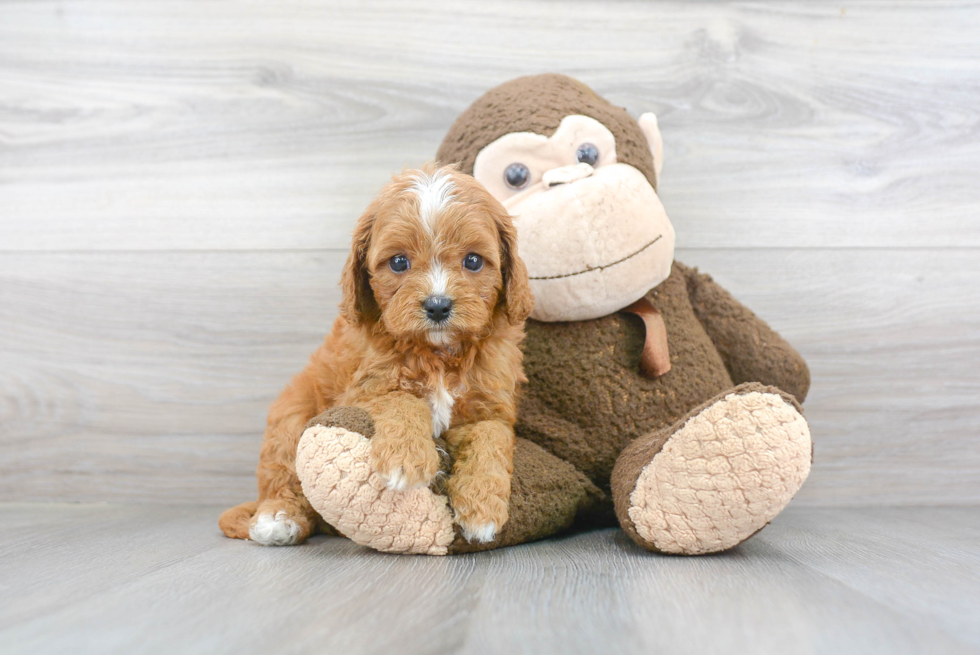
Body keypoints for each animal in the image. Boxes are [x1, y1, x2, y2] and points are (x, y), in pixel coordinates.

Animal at [221, 165, 532, 548]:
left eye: (473, 261)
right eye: (398, 262)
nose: (438, 305)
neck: (438, 354)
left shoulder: (490, 406)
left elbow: (491, 438)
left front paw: (482, 510)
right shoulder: (363, 388)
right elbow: (400, 399)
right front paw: (405, 459)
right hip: (291, 417)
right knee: (283, 475)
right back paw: (277, 518)